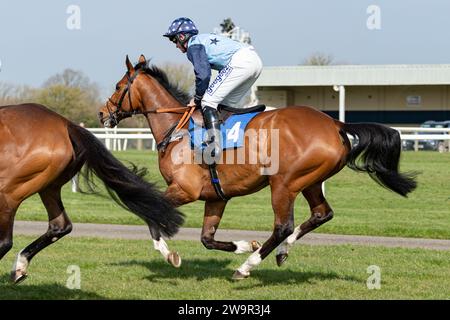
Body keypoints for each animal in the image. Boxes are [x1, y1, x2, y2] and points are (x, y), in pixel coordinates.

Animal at [0, 102, 184, 282]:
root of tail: (66, 124)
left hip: (10, 192)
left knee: (6, 242)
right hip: (48, 187)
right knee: (60, 226)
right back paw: (20, 266)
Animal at [98, 55, 418, 280]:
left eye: (118, 87)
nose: (102, 114)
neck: (175, 128)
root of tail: (335, 123)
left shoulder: (184, 190)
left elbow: (150, 217)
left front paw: (170, 256)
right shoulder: (216, 197)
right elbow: (206, 239)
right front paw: (244, 244)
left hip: (284, 183)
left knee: (283, 225)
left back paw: (246, 267)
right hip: (311, 181)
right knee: (321, 214)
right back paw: (281, 251)